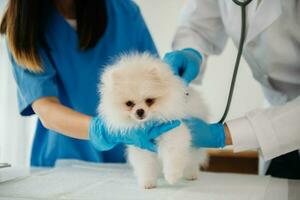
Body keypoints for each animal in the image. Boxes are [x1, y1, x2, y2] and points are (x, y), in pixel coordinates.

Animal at [99, 52, 207, 188]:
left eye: (149, 100)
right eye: (129, 103)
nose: (140, 111)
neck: (150, 122)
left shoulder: (174, 132)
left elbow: (172, 155)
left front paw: (172, 177)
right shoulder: (140, 143)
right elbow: (145, 165)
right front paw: (148, 182)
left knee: (192, 160)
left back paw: (191, 174)